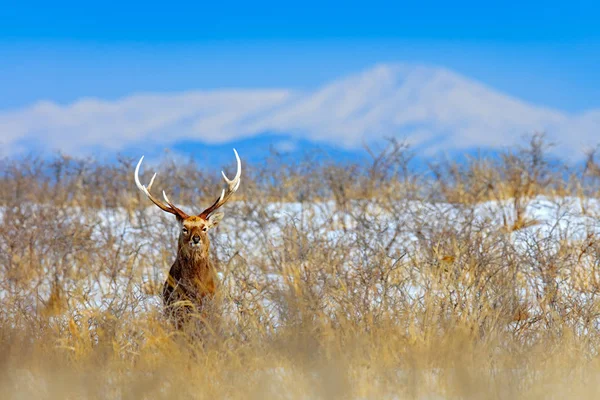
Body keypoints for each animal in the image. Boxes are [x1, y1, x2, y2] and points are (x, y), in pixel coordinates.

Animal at [134, 150, 241, 328]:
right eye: (184, 229)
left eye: (204, 228)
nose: (196, 239)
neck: (195, 288)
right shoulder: (177, 308)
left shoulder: (210, 306)